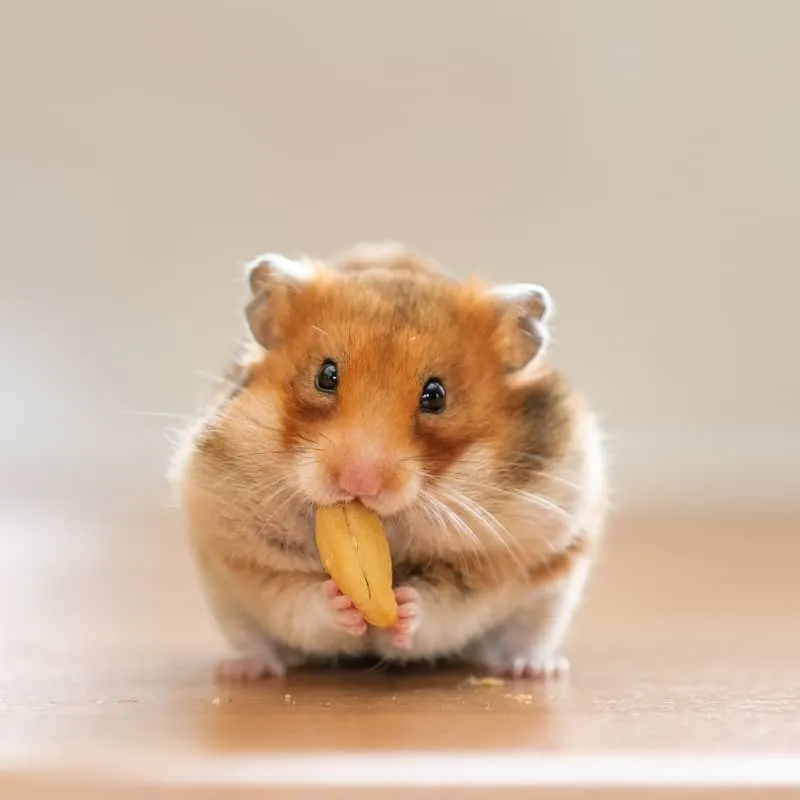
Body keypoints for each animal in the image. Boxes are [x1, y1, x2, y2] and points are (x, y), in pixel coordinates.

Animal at [170, 242, 607, 681]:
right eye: (326, 375)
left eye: (436, 395)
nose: (358, 483)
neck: (391, 528)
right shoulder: (245, 553)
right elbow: (298, 598)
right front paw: (340, 602)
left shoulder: (497, 558)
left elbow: (444, 605)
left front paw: (405, 607)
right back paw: (243, 671)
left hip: (550, 596)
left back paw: (536, 669)